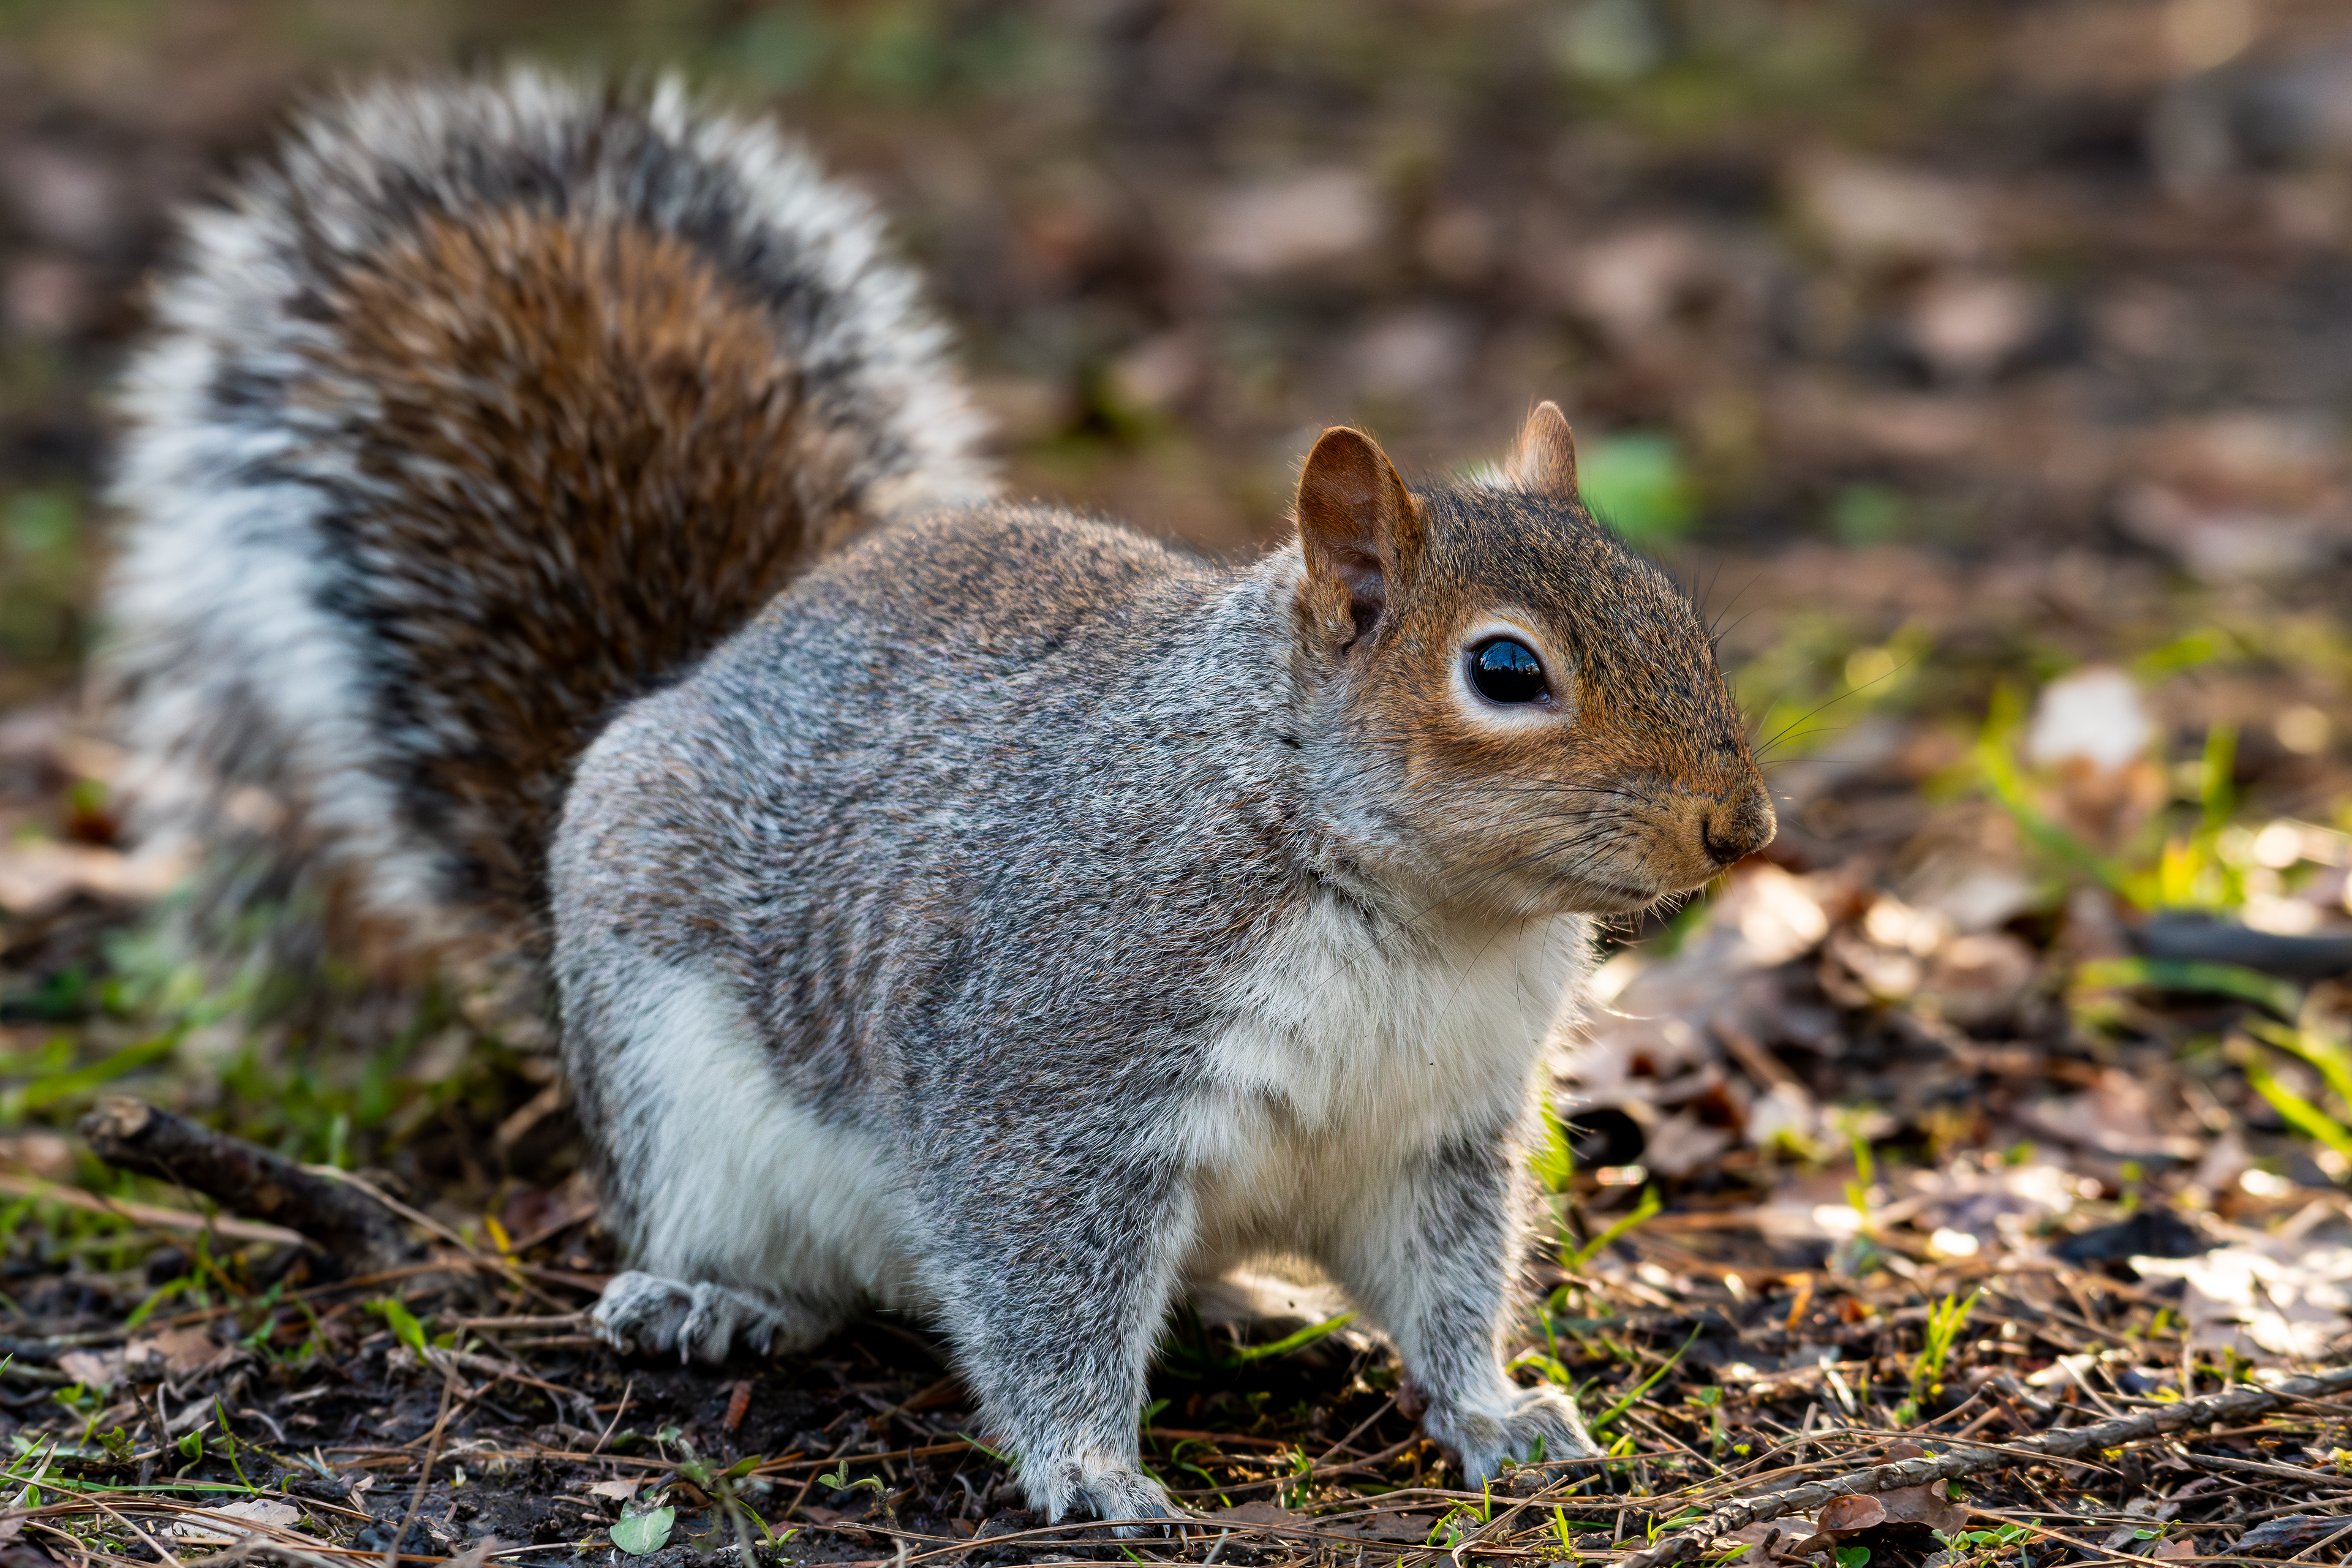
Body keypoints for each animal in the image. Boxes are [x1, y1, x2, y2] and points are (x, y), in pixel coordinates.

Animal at [103, 72, 1775, 1527]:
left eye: (1675, 609)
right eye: (1503, 669)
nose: (1740, 828)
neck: (1418, 915)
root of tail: (696, 676)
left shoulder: (1438, 1130)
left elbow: (1446, 1284)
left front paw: (1493, 1412)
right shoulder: (1054, 1064)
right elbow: (1038, 1275)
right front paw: (1091, 1468)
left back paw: (1241, 1295)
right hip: (669, 1083)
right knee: (748, 1237)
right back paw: (709, 1296)